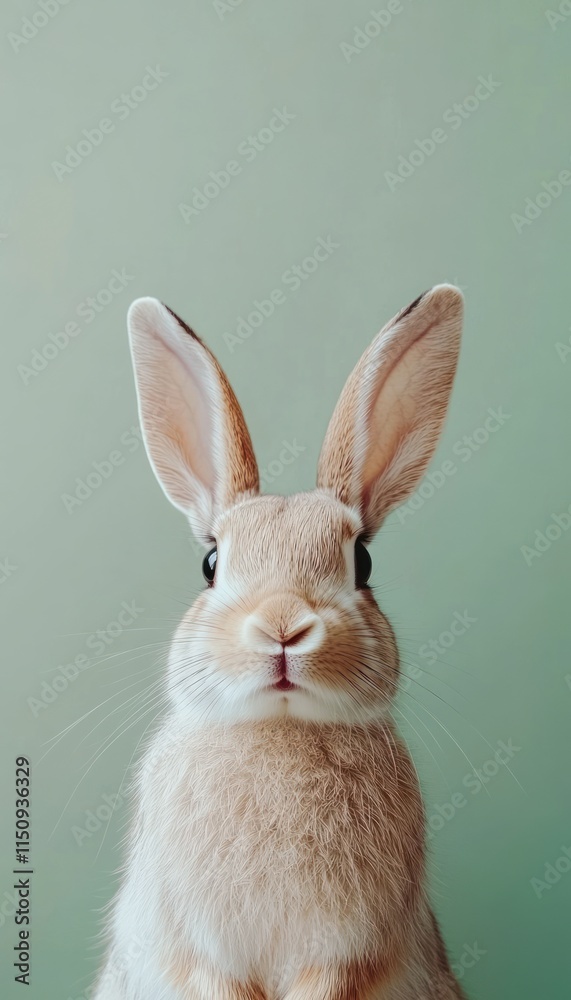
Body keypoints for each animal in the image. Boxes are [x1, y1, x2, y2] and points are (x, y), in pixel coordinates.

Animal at [93, 284, 467, 1000]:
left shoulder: (351, 950)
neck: (278, 726)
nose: (283, 626)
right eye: (210, 563)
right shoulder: (193, 944)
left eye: (363, 563)